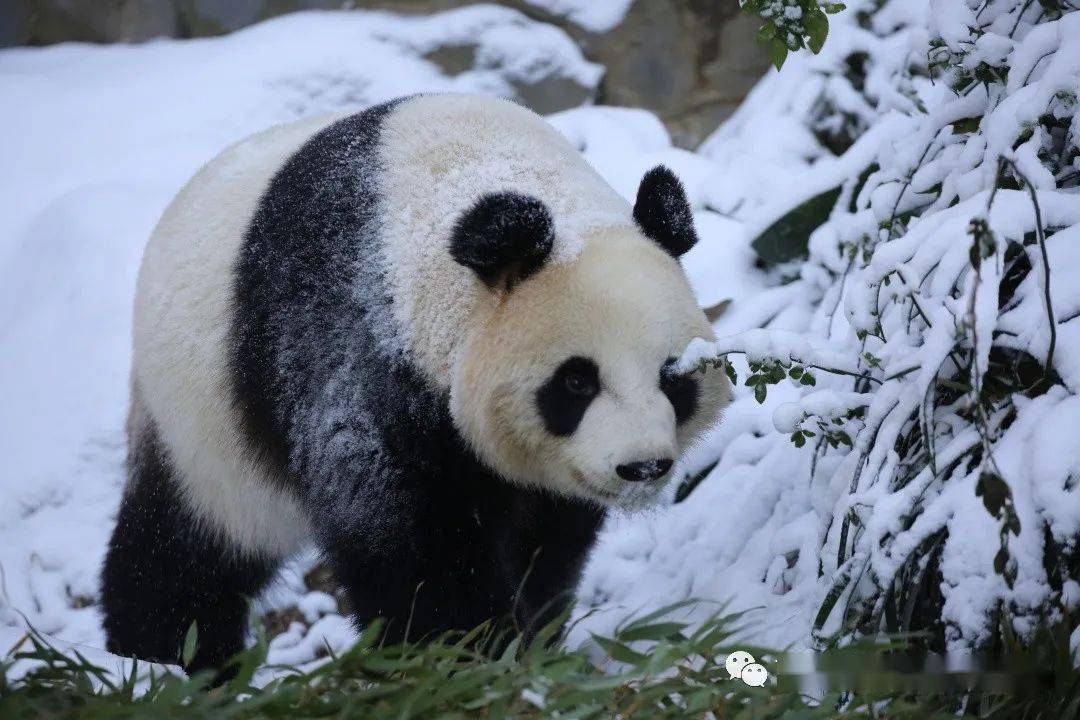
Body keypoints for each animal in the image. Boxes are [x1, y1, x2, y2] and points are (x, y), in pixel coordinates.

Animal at [101, 92, 730, 673]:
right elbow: (404, 534)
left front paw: (532, 639)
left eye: (672, 377)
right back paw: (165, 658)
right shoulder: (356, 344)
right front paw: (465, 655)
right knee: (185, 554)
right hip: (198, 421)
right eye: (577, 382)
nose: (642, 466)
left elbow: (547, 543)